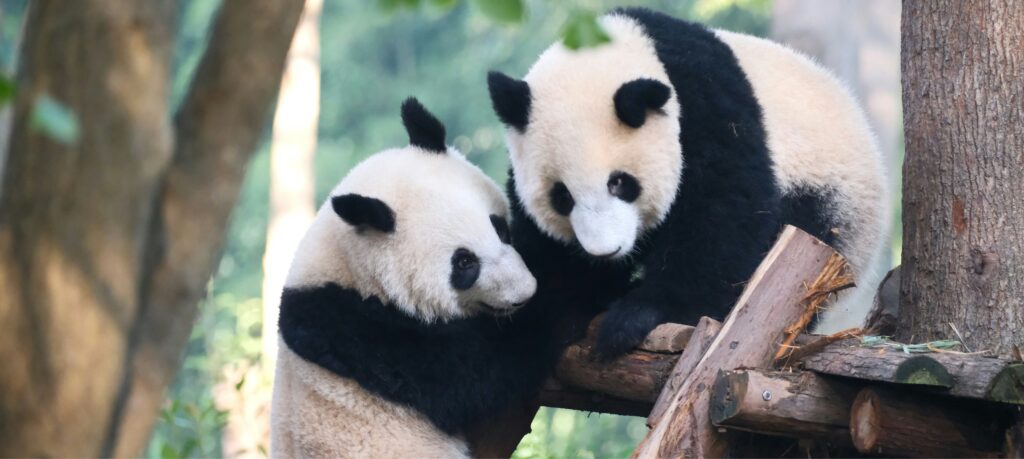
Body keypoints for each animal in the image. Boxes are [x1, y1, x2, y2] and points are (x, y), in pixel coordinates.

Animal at [271, 98, 558, 457]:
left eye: (500, 228)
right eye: (464, 263)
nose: (525, 292)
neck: (348, 268)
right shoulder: (358, 333)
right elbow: (487, 363)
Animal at [487, 8, 891, 359]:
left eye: (620, 183)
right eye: (562, 197)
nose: (605, 252)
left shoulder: (707, 107)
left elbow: (723, 215)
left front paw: (636, 315)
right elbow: (546, 255)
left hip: (829, 200)